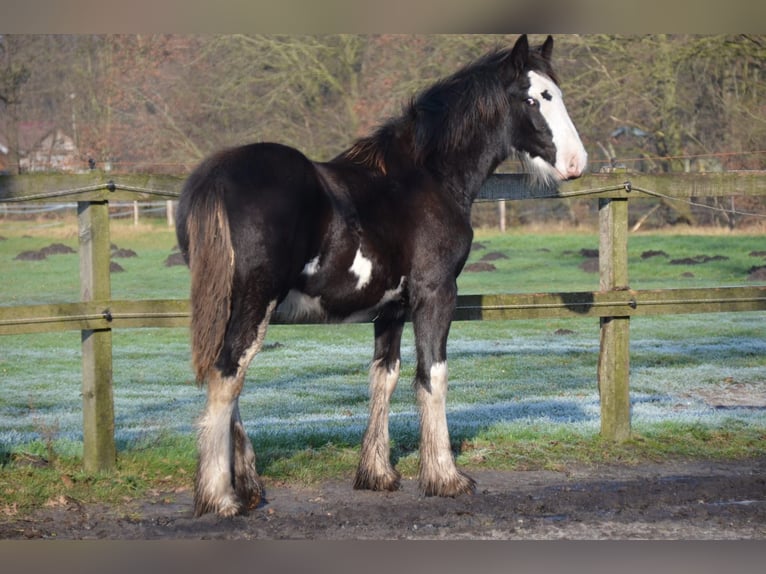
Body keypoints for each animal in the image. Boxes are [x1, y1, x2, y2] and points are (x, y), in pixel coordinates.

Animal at [178, 35, 588, 516]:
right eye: (533, 98)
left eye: (556, 92)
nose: (577, 162)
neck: (426, 178)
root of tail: (217, 176)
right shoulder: (436, 294)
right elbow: (432, 376)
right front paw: (444, 477)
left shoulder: (391, 309)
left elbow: (384, 376)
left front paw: (376, 473)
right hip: (255, 301)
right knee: (228, 374)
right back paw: (220, 497)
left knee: (227, 376)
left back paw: (247, 486)